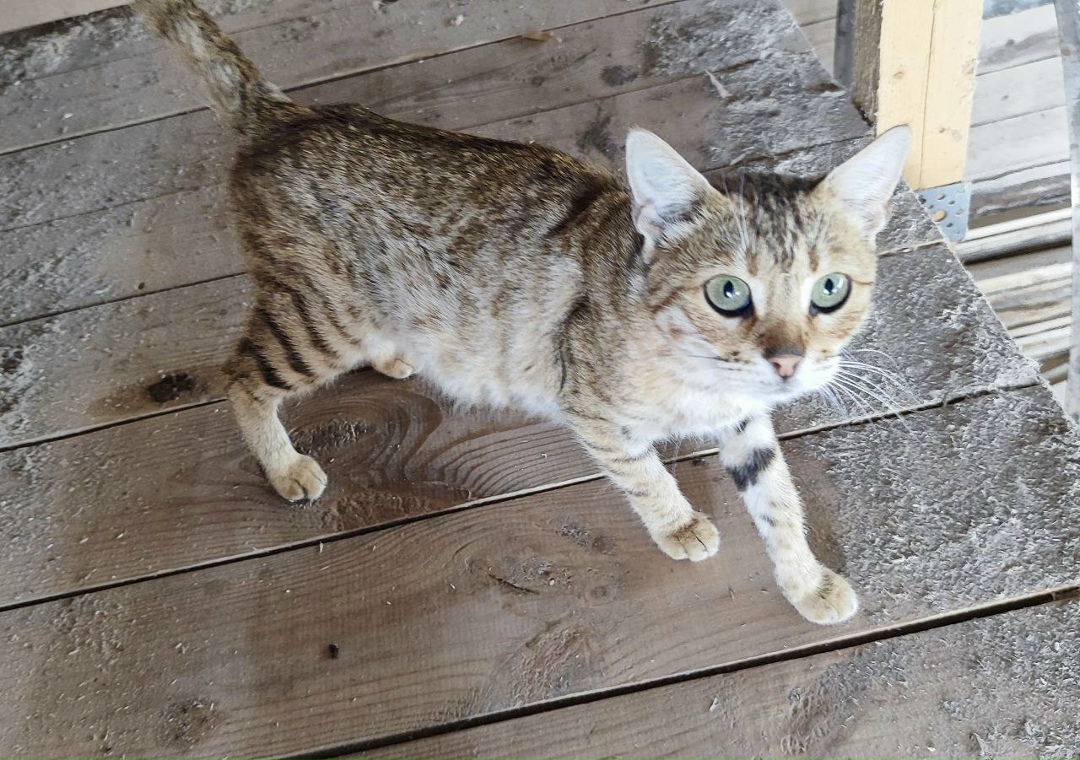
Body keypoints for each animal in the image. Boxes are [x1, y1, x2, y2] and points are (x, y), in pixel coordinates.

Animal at [133, 0, 910, 625]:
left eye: (830, 290)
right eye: (727, 293)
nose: (787, 361)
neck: (699, 375)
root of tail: (287, 113)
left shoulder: (747, 421)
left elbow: (779, 500)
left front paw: (807, 582)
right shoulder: (588, 405)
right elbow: (643, 472)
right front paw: (679, 525)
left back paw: (394, 350)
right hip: (322, 316)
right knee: (238, 376)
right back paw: (286, 466)